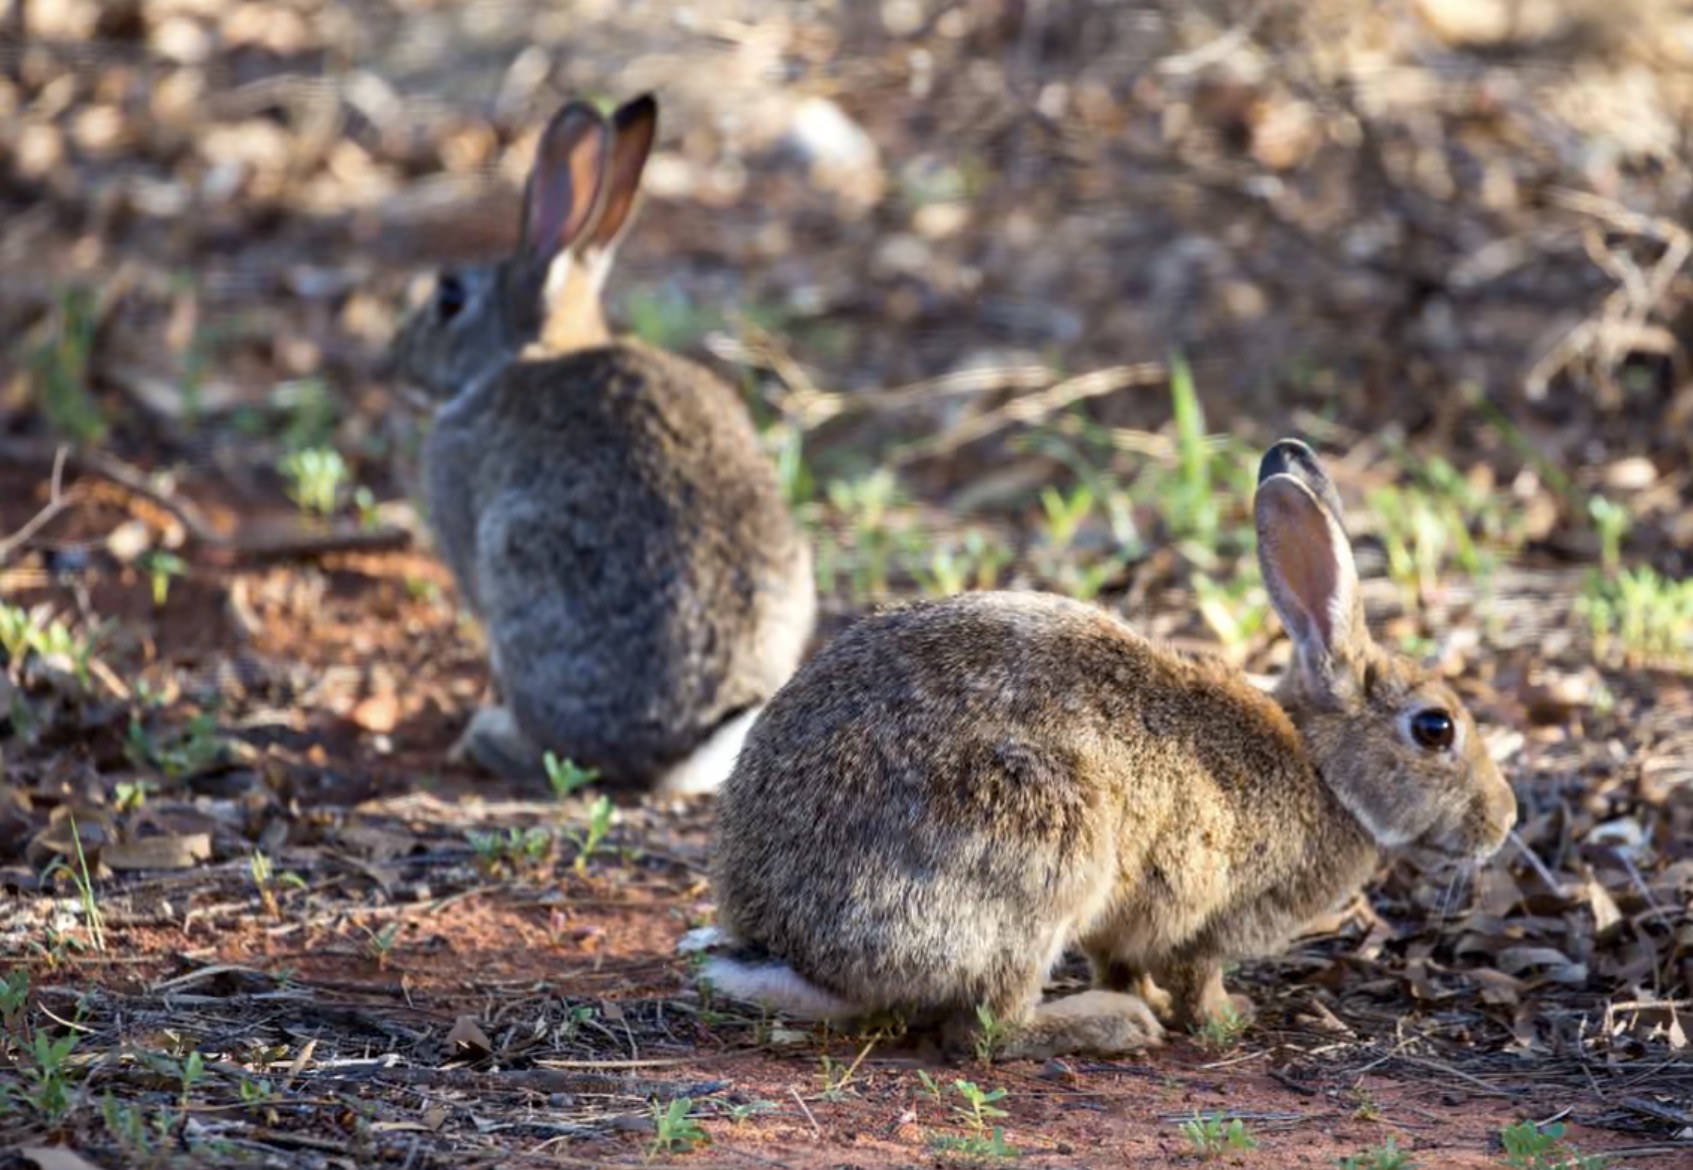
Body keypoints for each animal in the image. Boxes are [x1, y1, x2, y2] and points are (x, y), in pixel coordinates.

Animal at [386, 94, 815, 793]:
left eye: (449, 298)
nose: (393, 361)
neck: (534, 347)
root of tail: (691, 740)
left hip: (521, 564)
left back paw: (486, 738)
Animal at [689, 439, 1516, 1059]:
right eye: (1435, 728)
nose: (1503, 819)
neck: (1324, 771)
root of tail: (793, 949)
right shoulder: (1208, 912)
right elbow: (1195, 973)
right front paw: (1222, 1017)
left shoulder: (1131, 917)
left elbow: (1121, 958)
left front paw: (1148, 995)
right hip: (1037, 848)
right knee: (984, 1030)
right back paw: (1110, 1026)